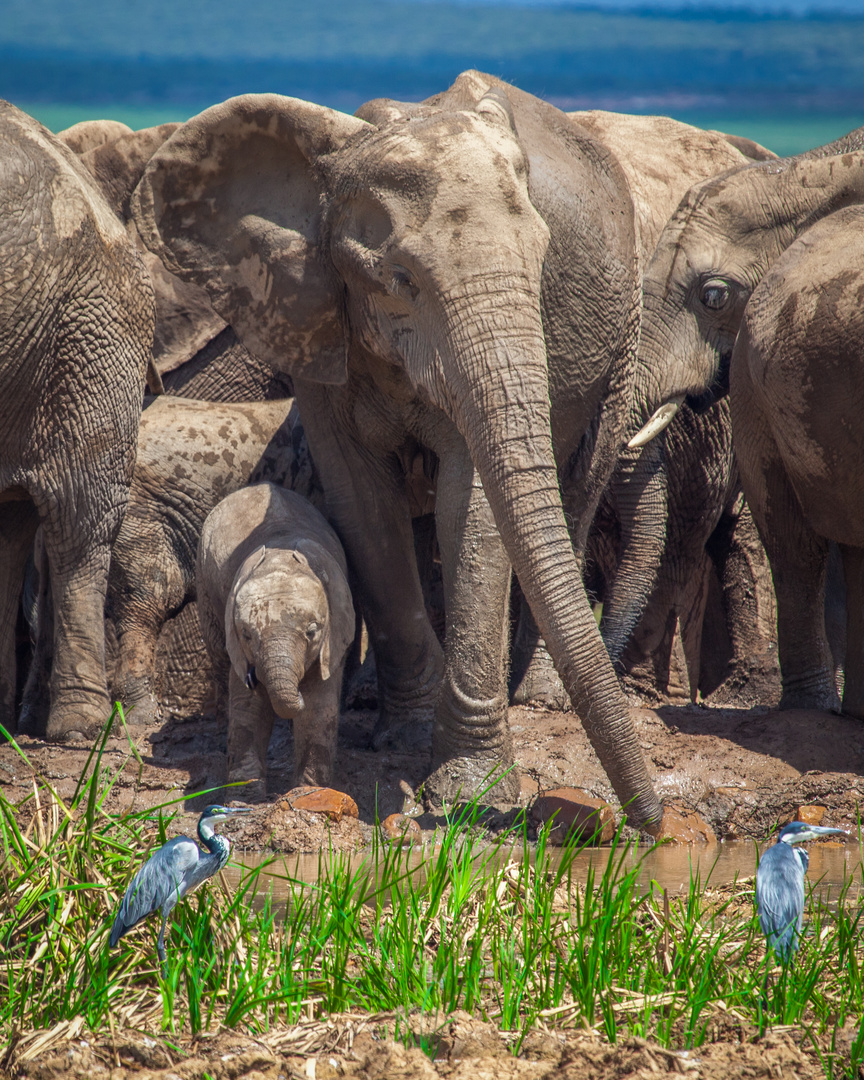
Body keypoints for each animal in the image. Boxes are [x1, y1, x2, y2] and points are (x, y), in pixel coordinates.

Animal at [198, 483, 354, 803]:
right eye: (247, 635)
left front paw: (309, 793)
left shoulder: (333, 637)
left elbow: (319, 706)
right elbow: (248, 706)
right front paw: (245, 798)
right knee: (219, 656)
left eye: (312, 632)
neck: (280, 559)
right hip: (205, 586)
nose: (297, 693)